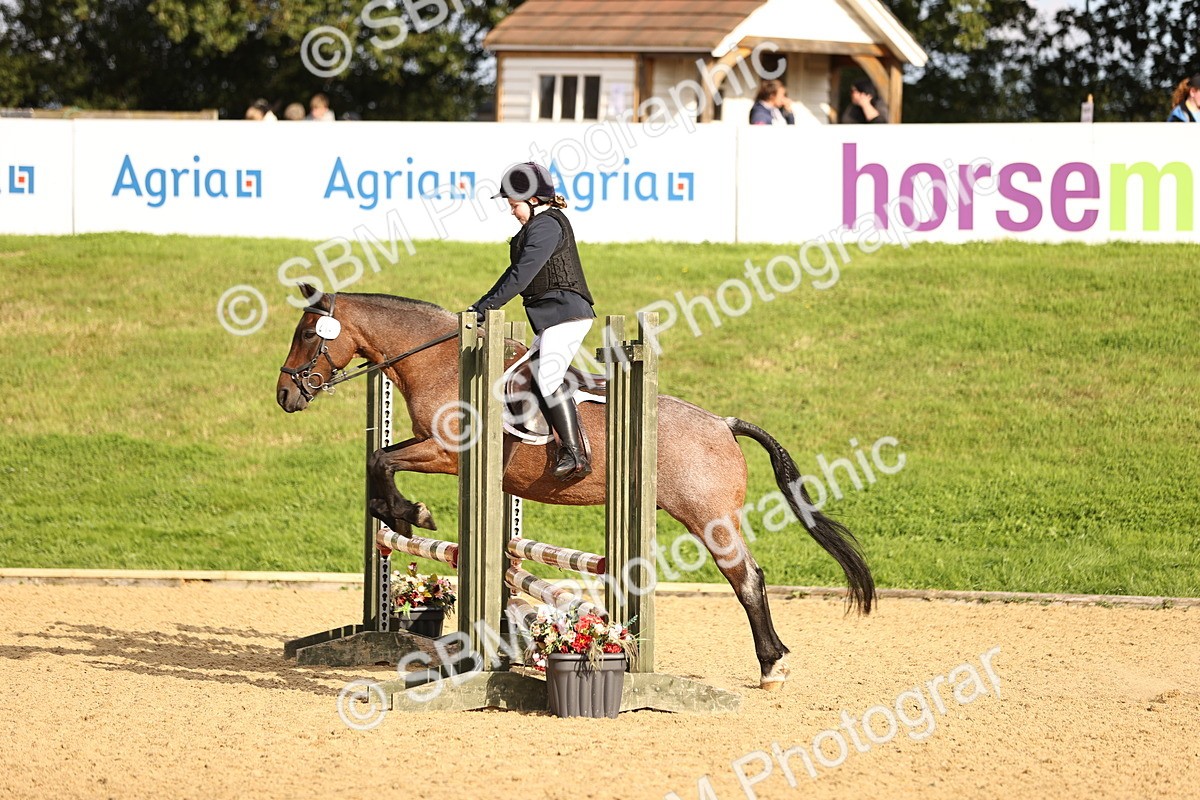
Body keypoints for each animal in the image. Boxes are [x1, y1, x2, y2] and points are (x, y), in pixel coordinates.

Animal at [276, 291, 874, 690]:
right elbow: (379, 461)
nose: (285, 394)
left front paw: (410, 513)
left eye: (307, 333)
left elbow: (382, 461)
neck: (441, 361)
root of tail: (724, 425)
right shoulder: (436, 449)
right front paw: (399, 515)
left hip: (709, 518)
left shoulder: (446, 454)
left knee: (747, 579)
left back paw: (772, 664)